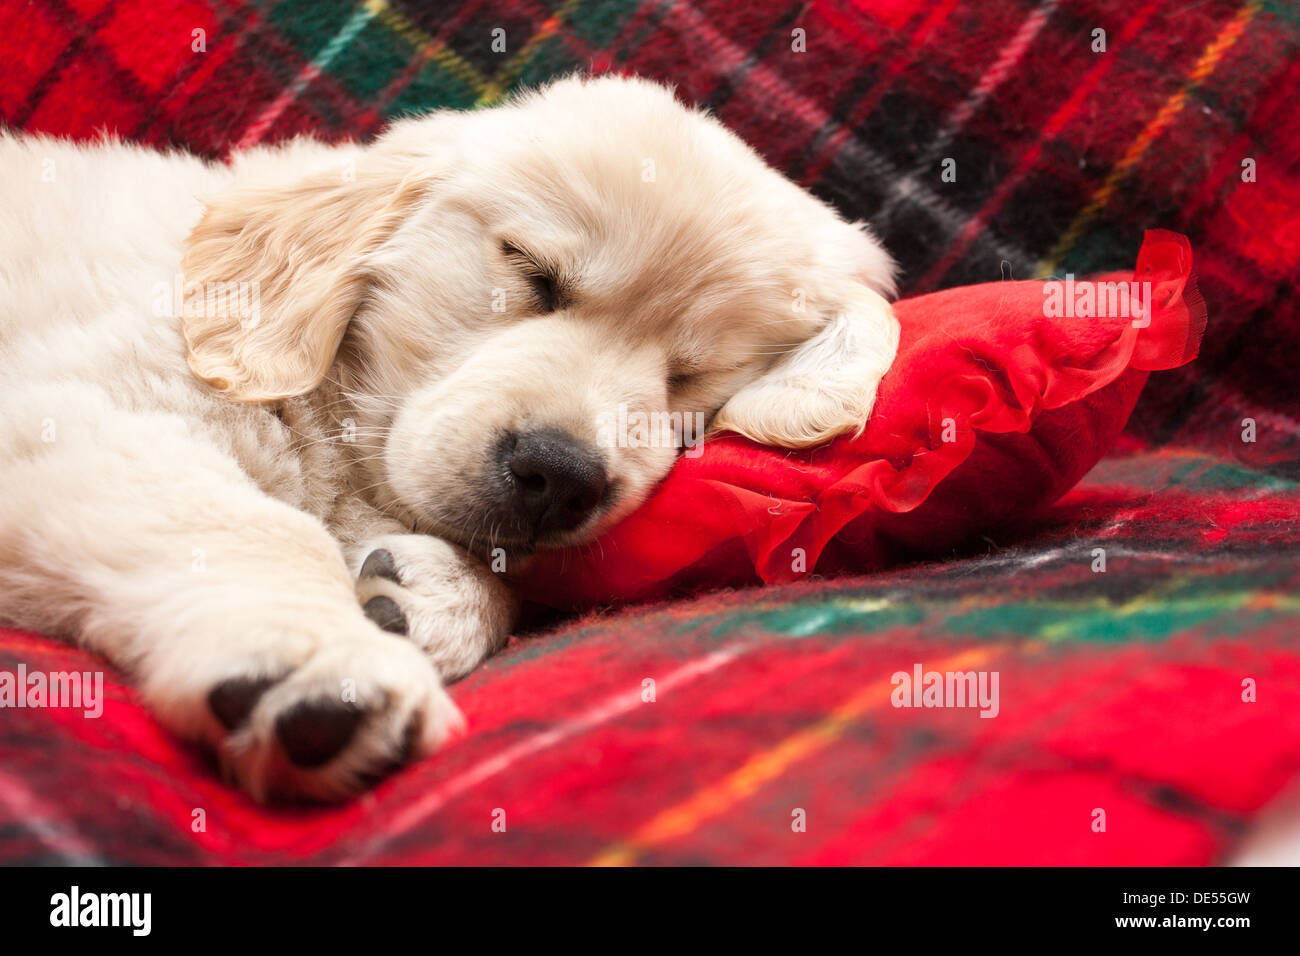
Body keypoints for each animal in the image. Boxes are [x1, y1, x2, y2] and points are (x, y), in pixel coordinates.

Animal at [0, 78, 894, 806]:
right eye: (531, 272)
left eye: (690, 377)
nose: (560, 477)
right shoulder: (75, 409)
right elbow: (249, 524)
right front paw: (322, 660)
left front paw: (427, 596)